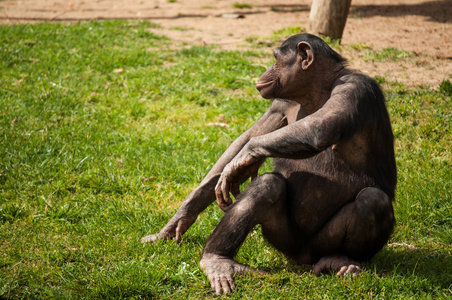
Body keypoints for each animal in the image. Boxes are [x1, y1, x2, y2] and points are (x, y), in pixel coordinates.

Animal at [142, 34, 396, 294]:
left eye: (275, 59)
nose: (266, 70)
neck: (315, 92)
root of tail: (301, 259)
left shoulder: (355, 87)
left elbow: (321, 127)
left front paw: (244, 159)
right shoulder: (279, 104)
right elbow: (244, 139)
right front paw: (177, 222)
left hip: (321, 244)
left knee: (373, 200)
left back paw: (342, 260)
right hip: (282, 239)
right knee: (267, 186)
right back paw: (217, 259)